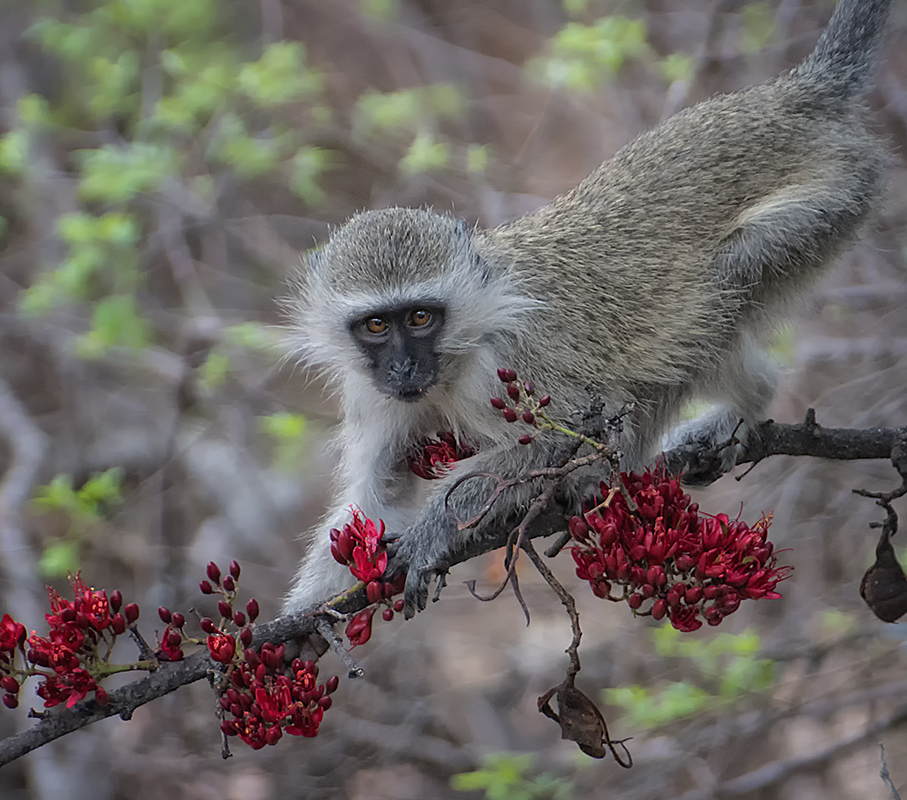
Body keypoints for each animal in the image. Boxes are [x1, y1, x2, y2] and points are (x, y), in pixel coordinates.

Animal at [284, 0, 892, 620]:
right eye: (376, 325)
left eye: (421, 318)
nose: (404, 367)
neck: (458, 353)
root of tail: (793, 98)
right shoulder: (373, 392)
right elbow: (378, 495)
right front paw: (298, 623)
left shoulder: (510, 362)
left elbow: (571, 430)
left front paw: (433, 533)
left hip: (832, 198)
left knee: (719, 289)